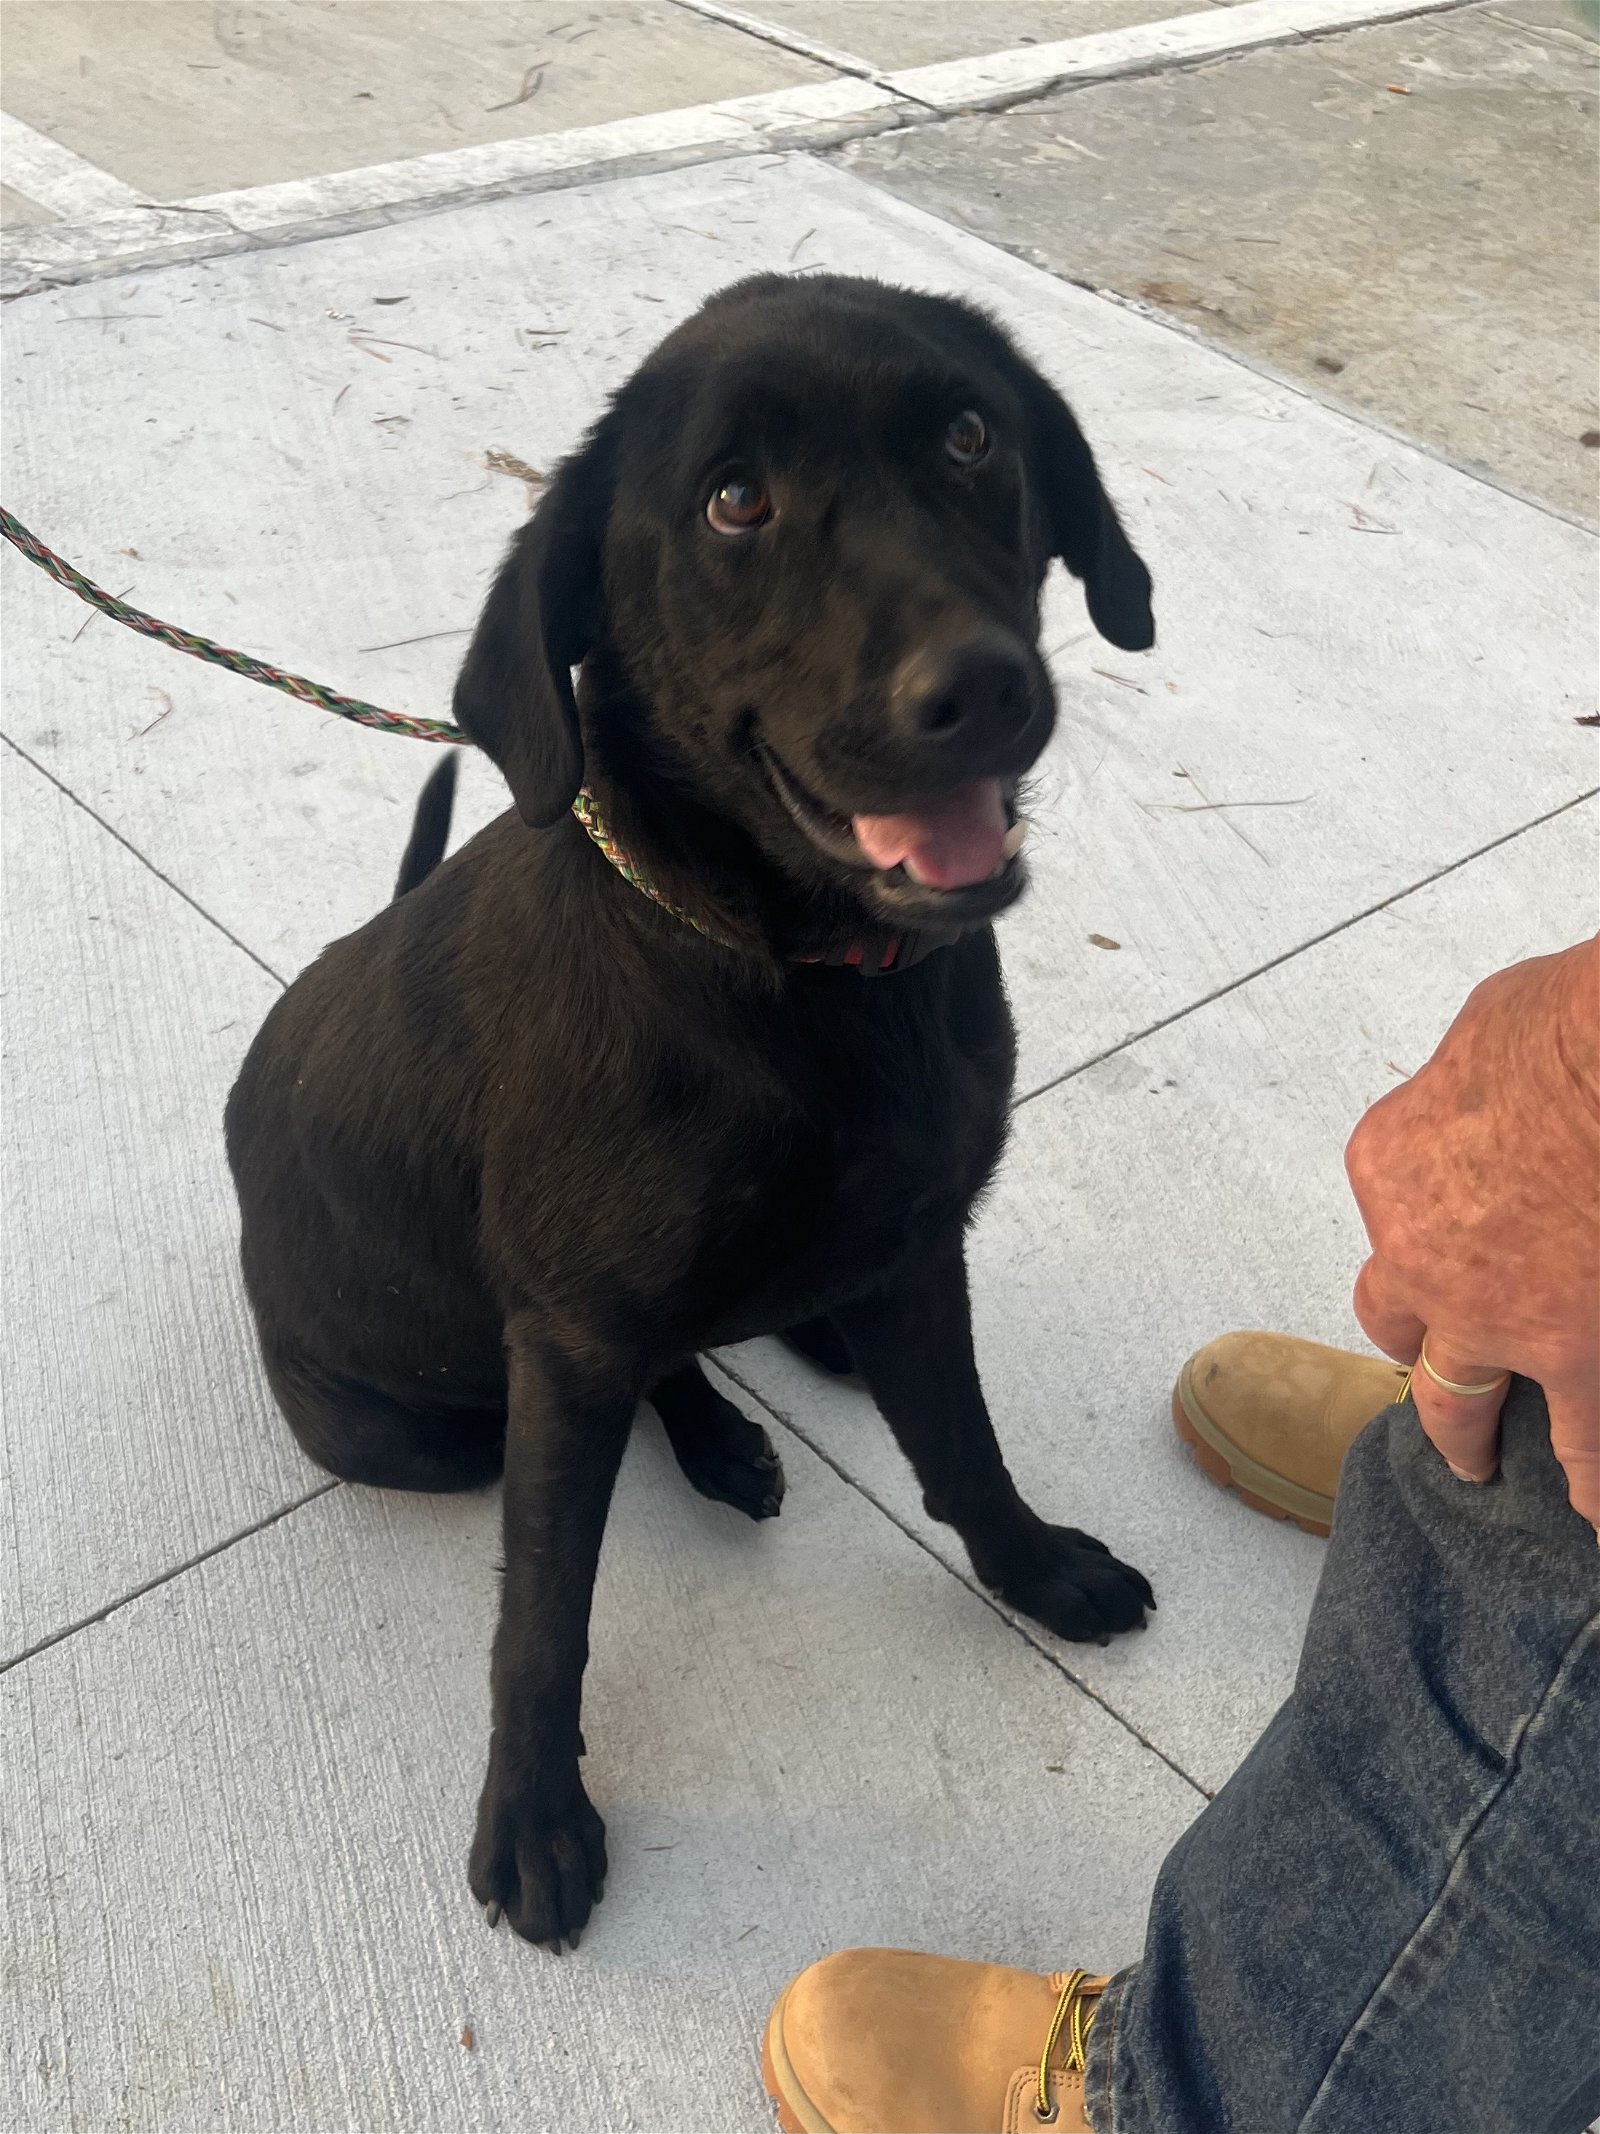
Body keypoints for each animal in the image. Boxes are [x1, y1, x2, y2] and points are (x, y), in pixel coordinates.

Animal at [226, 271, 1160, 1954]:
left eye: (972, 435)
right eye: (735, 501)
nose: (982, 688)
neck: (803, 979)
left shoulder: (926, 1239)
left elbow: (966, 1444)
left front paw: (1034, 1568)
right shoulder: (571, 1339)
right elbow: (543, 1614)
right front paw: (535, 1813)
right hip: (425, 1427)